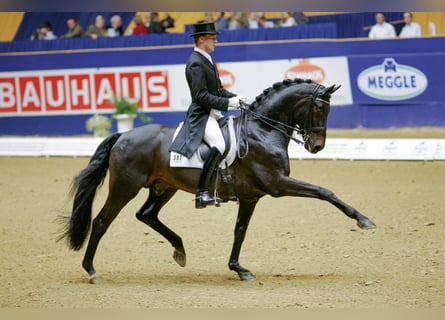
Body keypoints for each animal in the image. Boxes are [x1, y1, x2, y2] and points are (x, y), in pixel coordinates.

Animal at [58, 79, 374, 284]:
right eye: (320, 109)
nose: (317, 147)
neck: (263, 130)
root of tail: (123, 135)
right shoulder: (278, 184)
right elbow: (324, 191)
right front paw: (363, 219)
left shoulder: (251, 196)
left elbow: (239, 232)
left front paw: (239, 268)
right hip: (125, 187)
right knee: (101, 221)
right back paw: (90, 270)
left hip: (164, 187)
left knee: (146, 214)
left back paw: (180, 250)